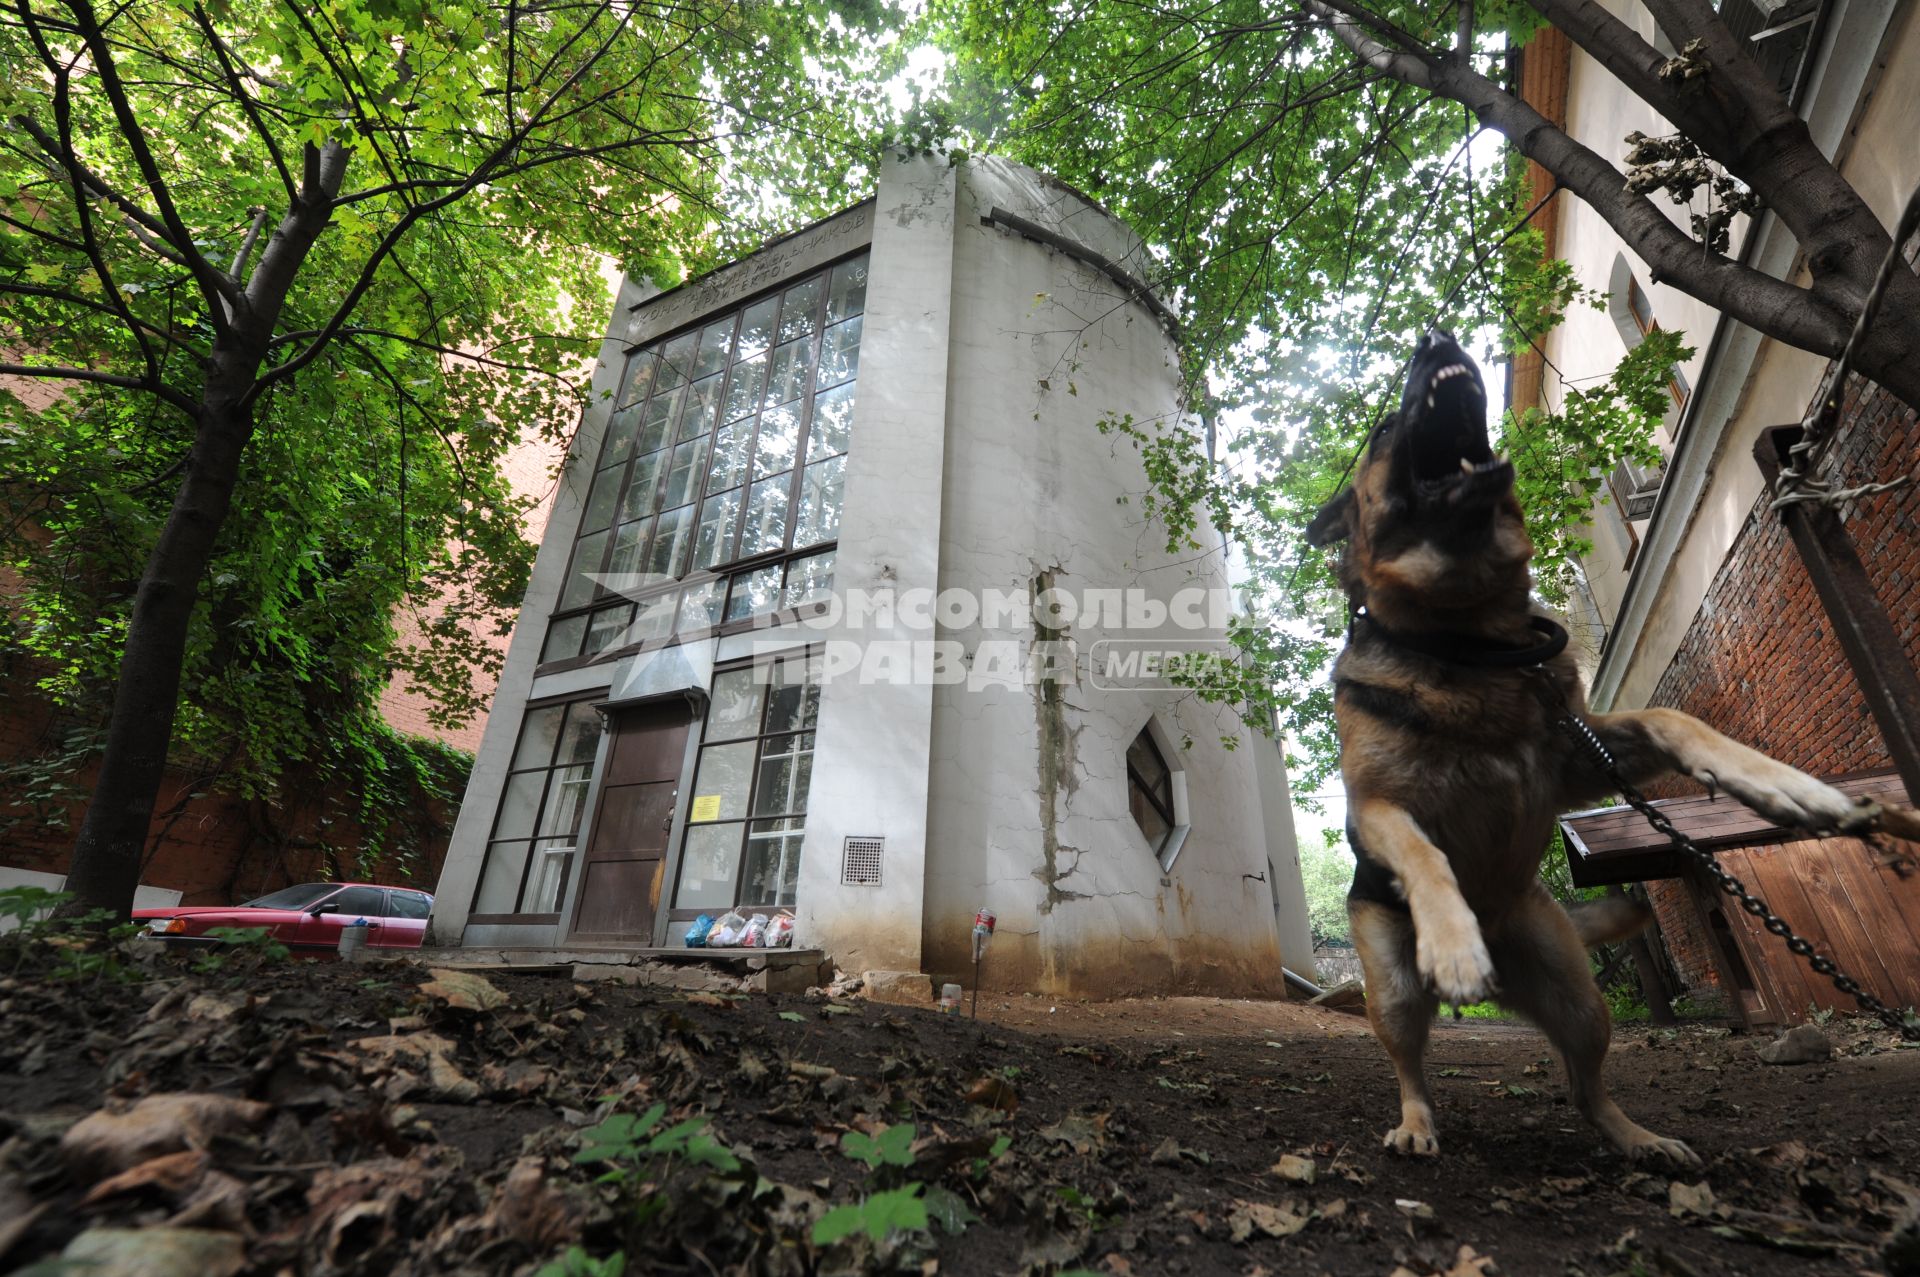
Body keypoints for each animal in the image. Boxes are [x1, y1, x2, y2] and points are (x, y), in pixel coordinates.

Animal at [1305, 330, 1920, 1167]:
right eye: (1380, 433)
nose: (1436, 336)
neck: (1469, 637)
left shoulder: (1575, 759)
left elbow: (1674, 719)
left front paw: (1786, 786)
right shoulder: (1375, 807)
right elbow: (1423, 850)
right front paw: (1453, 939)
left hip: (1578, 994)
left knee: (1584, 1087)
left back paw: (1638, 1136)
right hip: (1396, 989)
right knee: (1412, 1063)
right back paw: (1417, 1117)